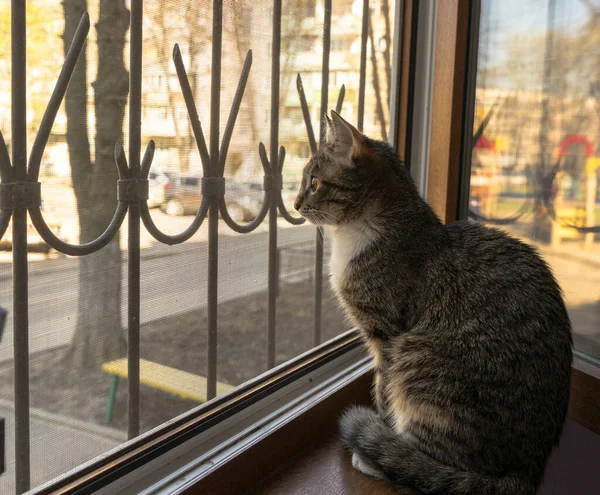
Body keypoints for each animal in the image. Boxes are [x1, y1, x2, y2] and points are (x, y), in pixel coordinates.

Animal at [294, 112, 572, 495]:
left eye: (315, 182)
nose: (294, 204)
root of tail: (526, 471)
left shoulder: (386, 335)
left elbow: (382, 389)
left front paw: (380, 430)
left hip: (420, 362)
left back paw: (381, 457)